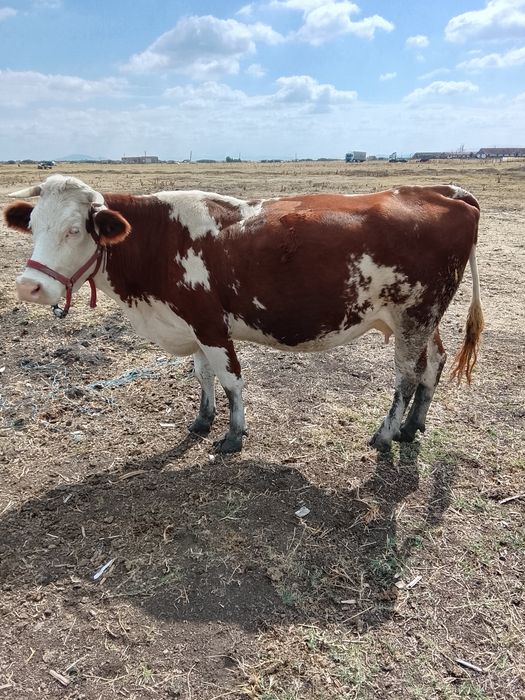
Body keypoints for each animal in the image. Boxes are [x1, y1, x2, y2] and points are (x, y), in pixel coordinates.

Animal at [4, 175, 483, 453]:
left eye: (74, 230)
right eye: (33, 226)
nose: (29, 286)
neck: (159, 239)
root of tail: (444, 192)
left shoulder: (210, 323)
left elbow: (232, 379)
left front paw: (233, 435)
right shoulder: (191, 324)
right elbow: (203, 375)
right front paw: (202, 420)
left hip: (414, 314)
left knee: (407, 375)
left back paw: (386, 434)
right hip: (425, 319)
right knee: (434, 363)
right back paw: (412, 427)